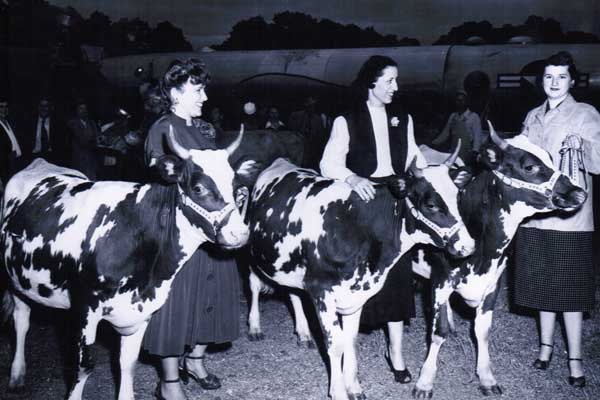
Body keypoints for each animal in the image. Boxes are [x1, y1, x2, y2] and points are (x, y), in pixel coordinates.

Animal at [0, 126, 248, 400]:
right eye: (198, 188)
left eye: (237, 187)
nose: (240, 233)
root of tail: (41, 162)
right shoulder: (84, 308)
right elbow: (83, 367)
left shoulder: (141, 311)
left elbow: (127, 363)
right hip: (15, 280)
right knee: (22, 321)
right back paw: (17, 376)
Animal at [246, 144, 476, 400]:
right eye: (431, 205)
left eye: (458, 197)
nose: (467, 246)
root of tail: (281, 162)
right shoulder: (322, 291)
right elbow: (335, 344)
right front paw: (338, 391)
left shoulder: (355, 293)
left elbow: (350, 339)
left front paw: (353, 386)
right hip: (251, 254)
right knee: (254, 285)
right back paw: (254, 327)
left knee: (292, 292)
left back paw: (304, 333)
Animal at [410, 123, 588, 398]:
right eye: (529, 166)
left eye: (550, 157)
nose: (578, 193)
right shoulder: (440, 279)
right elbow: (437, 332)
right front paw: (425, 382)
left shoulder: (494, 282)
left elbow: (482, 331)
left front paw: (487, 378)